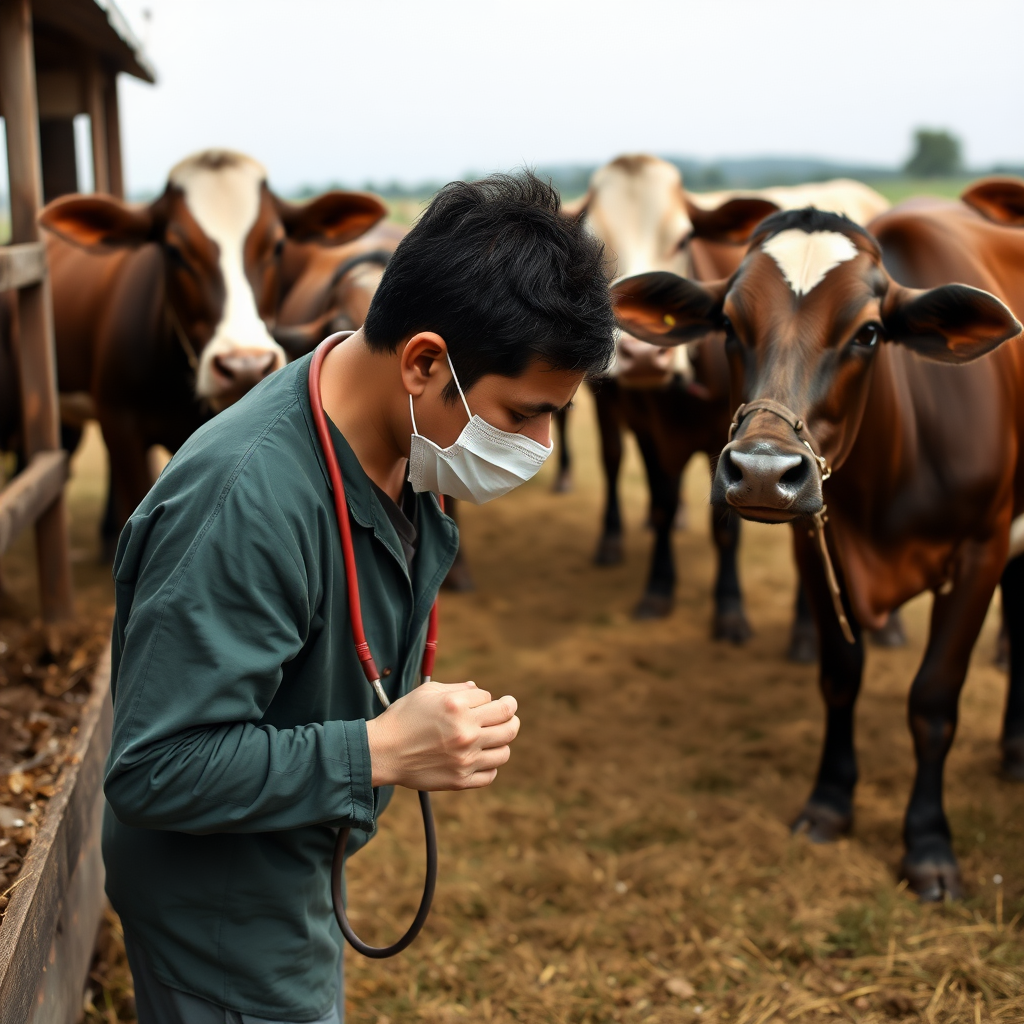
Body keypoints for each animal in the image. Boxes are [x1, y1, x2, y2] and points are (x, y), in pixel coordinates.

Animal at [606, 182, 1024, 897]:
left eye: (870, 333)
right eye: (729, 326)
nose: (762, 471)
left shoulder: (983, 551)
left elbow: (933, 701)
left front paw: (928, 843)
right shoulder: (816, 548)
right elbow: (840, 678)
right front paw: (830, 801)